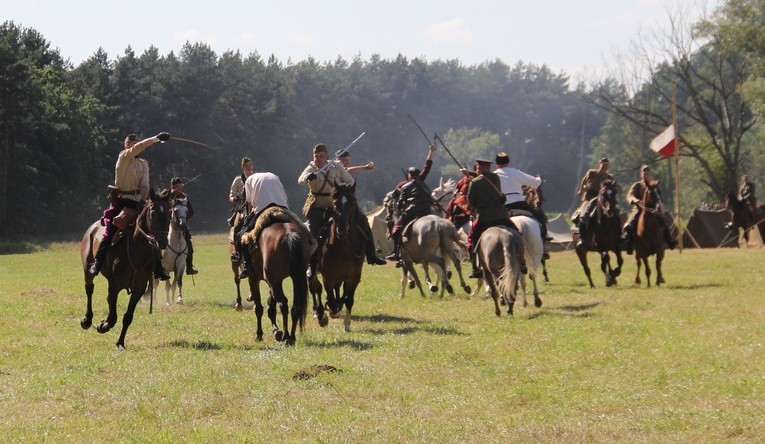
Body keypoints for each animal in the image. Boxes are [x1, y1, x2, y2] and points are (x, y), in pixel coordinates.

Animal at [80, 189, 169, 348]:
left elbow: (127, 317)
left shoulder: (139, 289)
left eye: (169, 214)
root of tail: (92, 228)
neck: (136, 250)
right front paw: (103, 326)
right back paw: (87, 320)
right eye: (153, 213)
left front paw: (120, 342)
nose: (162, 242)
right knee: (89, 289)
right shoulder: (115, 285)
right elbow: (112, 315)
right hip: (87, 269)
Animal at [239, 217, 310, 346]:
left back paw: (286, 337)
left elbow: (259, 308)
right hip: (296, 278)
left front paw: (259, 335)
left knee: (283, 304)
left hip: (274, 281)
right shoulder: (273, 282)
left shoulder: (255, 279)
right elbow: (271, 307)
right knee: (295, 306)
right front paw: (276, 332)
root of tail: (289, 235)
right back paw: (291, 337)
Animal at [308, 182, 366, 332]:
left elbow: (348, 299)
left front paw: (347, 324)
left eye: (352, 204)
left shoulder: (353, 277)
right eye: (335, 204)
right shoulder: (328, 276)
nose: (341, 230)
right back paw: (319, 312)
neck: (343, 248)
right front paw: (329, 311)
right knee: (315, 287)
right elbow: (329, 296)